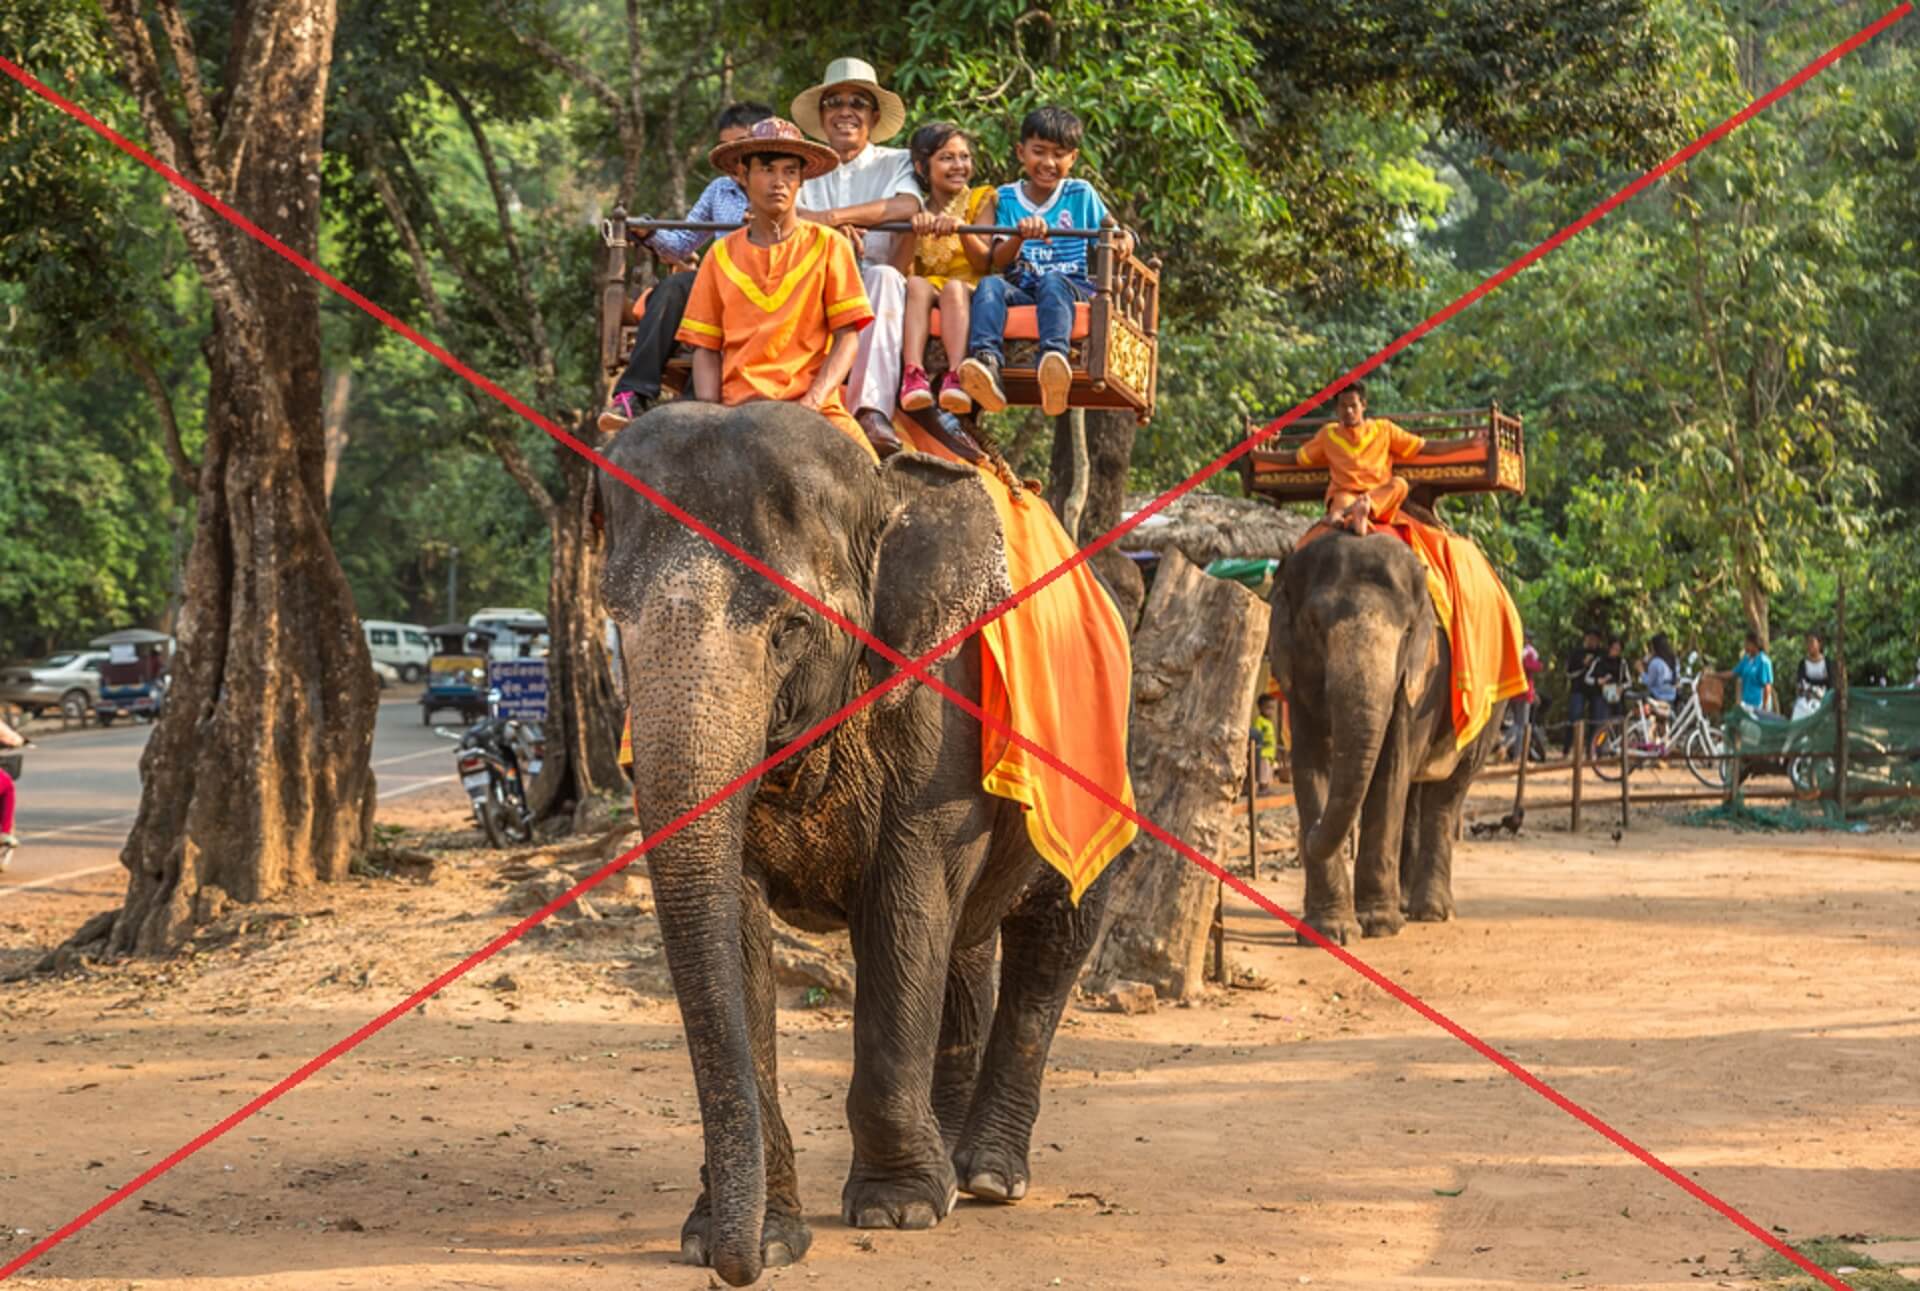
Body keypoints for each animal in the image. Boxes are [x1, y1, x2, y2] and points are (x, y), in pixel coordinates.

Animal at [591, 401, 1121, 1283]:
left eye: (790, 627)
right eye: (614, 624)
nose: (734, 1268)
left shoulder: (943, 697)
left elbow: (907, 897)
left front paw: (898, 1208)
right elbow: (740, 922)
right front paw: (760, 1233)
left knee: (1054, 933)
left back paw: (986, 1176)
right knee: (964, 947)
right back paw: (951, 1161)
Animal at [1267, 530, 1505, 941]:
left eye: (1408, 630)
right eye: (1313, 625)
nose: (1308, 835)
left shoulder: (1418, 678)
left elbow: (1390, 768)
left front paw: (1378, 926)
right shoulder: (1296, 678)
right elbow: (1310, 764)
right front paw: (1329, 931)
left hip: (1488, 711)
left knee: (1446, 793)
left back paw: (1430, 912)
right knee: (1413, 793)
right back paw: (1406, 903)